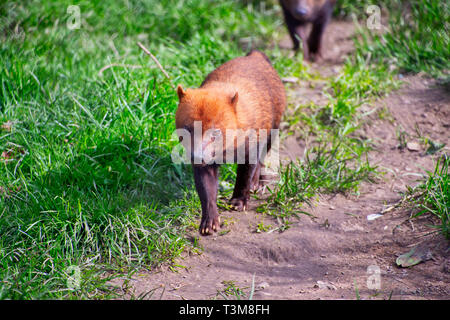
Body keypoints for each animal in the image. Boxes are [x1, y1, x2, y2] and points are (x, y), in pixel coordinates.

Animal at [176, 50, 284, 235]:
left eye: (216, 132)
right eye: (187, 129)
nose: (196, 156)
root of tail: (256, 55)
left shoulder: (251, 146)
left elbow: (245, 175)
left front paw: (238, 202)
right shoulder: (205, 164)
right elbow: (206, 190)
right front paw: (209, 222)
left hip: (273, 127)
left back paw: (256, 183)